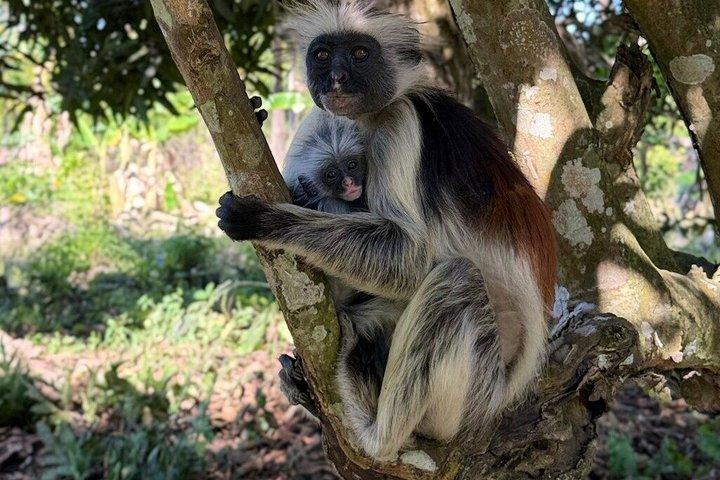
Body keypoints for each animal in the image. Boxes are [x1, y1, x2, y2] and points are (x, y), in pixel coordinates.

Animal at [217, 0, 557, 460]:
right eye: (322, 55)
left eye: (360, 54)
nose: (337, 78)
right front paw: (256, 112)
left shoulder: (400, 124)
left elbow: (411, 257)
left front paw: (270, 220)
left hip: (471, 392)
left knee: (456, 280)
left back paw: (374, 434)